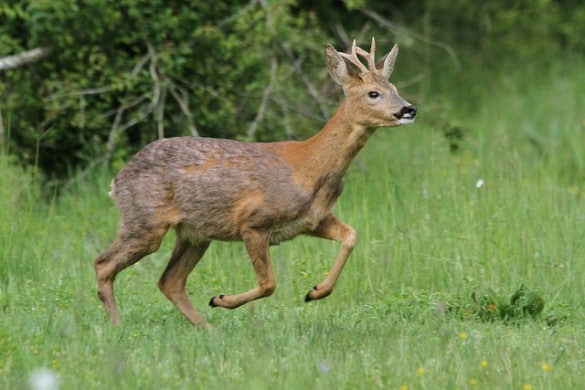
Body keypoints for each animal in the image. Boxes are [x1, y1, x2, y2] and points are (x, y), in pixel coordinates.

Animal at [94, 38, 416, 330]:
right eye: (373, 93)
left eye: (395, 89)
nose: (409, 109)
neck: (311, 169)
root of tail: (117, 179)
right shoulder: (253, 222)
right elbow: (268, 283)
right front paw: (221, 299)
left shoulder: (314, 219)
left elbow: (351, 236)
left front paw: (315, 292)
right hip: (145, 222)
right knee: (103, 264)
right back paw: (117, 326)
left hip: (194, 234)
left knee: (169, 281)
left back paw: (208, 329)